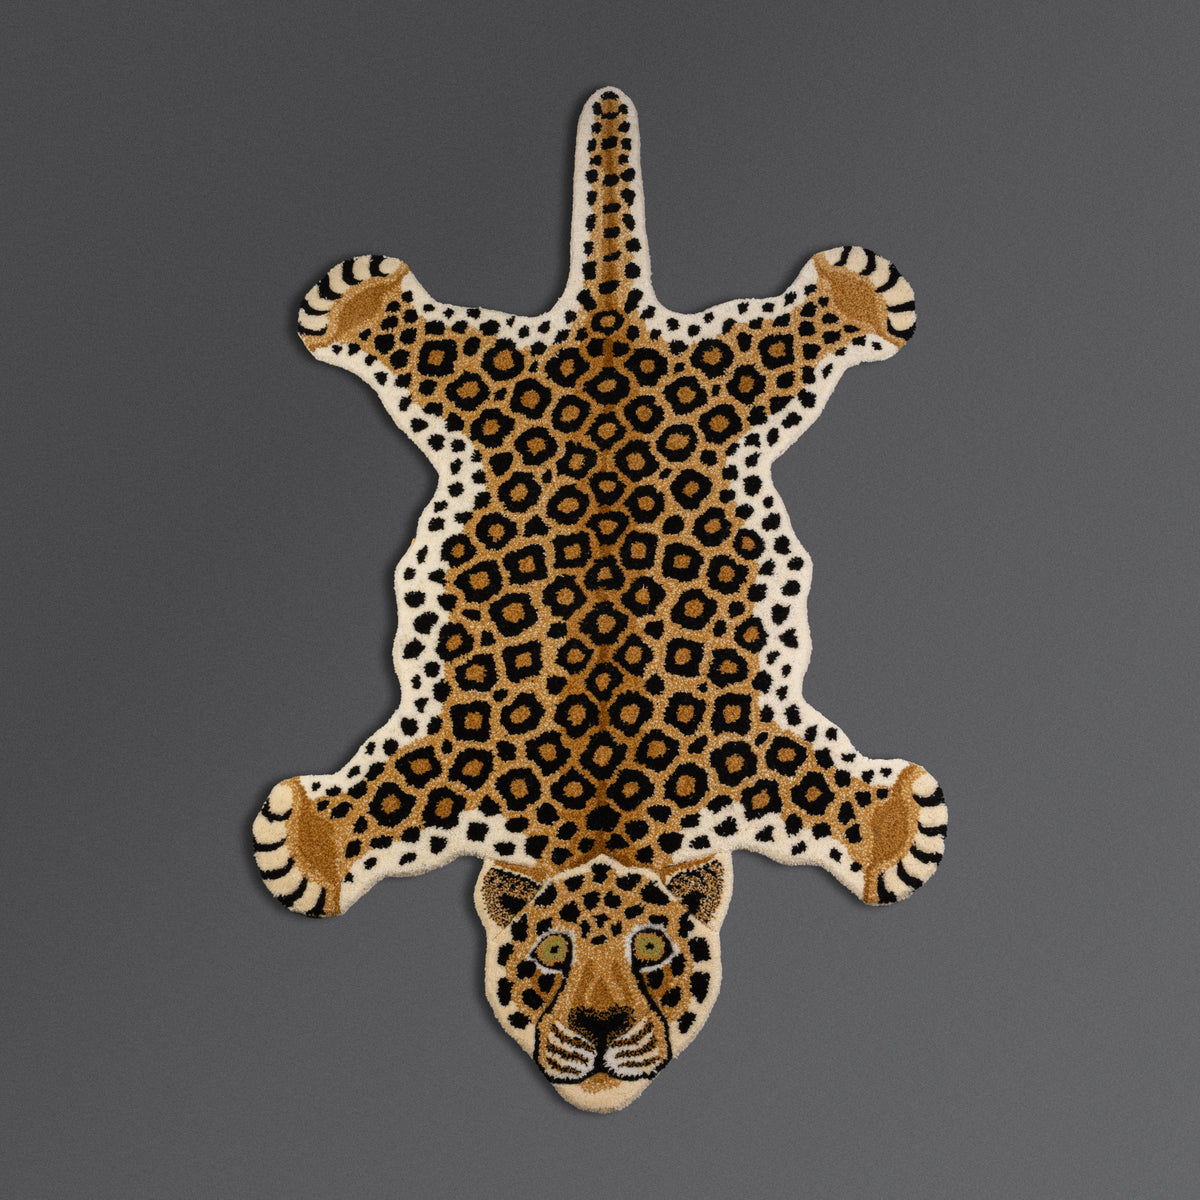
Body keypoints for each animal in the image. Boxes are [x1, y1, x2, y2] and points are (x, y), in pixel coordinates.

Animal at [252, 87, 947, 1112]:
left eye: (651, 946)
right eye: (548, 953)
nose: (602, 1029)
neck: (601, 817)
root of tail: (608, 320)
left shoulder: (743, 754)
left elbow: (814, 783)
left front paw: (891, 825)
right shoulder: (459, 759)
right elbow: (385, 799)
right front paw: (310, 842)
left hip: (718, 389)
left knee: (773, 341)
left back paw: (845, 296)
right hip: (493, 391)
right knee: (436, 348)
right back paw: (360, 305)